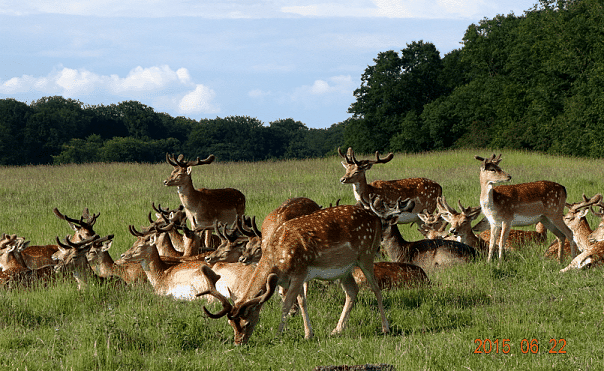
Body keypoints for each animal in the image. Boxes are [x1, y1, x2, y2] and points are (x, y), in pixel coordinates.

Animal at [201, 202, 412, 348]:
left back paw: (385, 327)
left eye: (246, 323)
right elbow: (301, 302)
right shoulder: (293, 278)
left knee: (376, 288)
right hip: (345, 269)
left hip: (366, 254)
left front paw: (279, 334)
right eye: (231, 324)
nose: (238, 343)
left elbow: (286, 305)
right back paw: (337, 329)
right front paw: (308, 333)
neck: (277, 257)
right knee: (352, 290)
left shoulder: (300, 271)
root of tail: (376, 219)